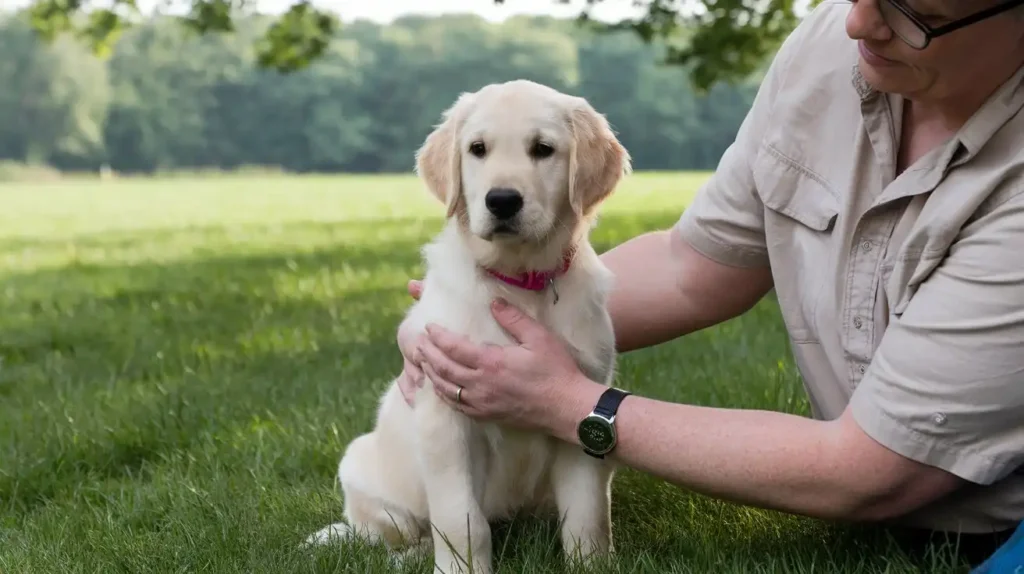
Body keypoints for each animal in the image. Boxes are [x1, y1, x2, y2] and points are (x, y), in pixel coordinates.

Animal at [303, 79, 626, 572]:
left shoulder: (579, 415)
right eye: (477, 149)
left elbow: (587, 514)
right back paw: (406, 555)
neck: (519, 283)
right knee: (387, 533)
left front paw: (591, 564)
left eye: (543, 149)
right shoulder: (446, 417)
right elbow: (460, 517)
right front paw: (460, 568)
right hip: (360, 468)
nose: (502, 200)